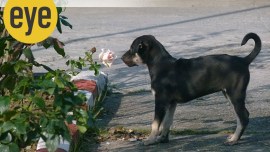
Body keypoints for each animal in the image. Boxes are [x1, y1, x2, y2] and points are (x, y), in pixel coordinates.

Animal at [122, 33, 262, 145]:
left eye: (132, 48)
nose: (121, 58)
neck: (159, 64)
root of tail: (244, 61)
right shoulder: (171, 103)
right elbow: (167, 122)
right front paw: (163, 139)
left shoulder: (160, 101)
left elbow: (155, 123)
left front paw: (150, 140)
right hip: (229, 94)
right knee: (243, 116)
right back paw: (234, 137)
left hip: (235, 94)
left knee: (243, 118)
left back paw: (234, 140)